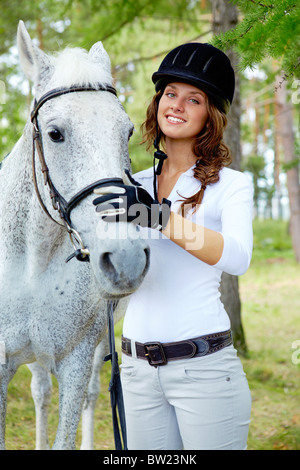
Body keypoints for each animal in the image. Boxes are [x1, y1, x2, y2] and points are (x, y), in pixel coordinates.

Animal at [0, 23, 150, 452]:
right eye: (55, 133)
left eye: (127, 131)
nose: (126, 258)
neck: (31, 265)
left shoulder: (77, 360)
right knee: (40, 392)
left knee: (93, 396)